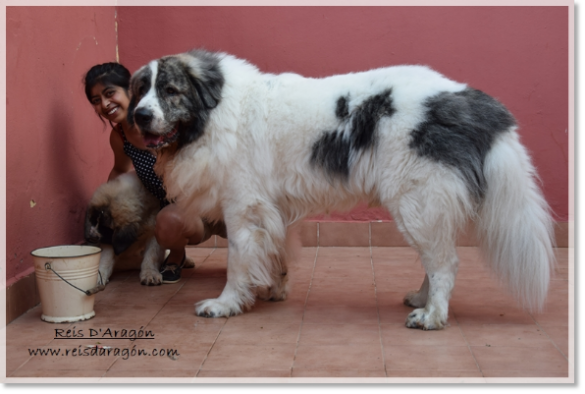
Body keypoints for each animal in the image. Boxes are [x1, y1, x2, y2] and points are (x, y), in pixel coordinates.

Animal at [126, 49, 552, 330]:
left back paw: (432, 315)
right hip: (422, 207)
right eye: (140, 90)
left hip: (416, 201)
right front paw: (274, 289)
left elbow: (237, 263)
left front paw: (225, 304)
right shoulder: (271, 210)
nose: (140, 116)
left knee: (445, 262)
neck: (216, 111)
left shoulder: (244, 208)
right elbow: (276, 252)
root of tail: (467, 98)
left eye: (170, 90)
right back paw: (422, 299)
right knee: (436, 259)